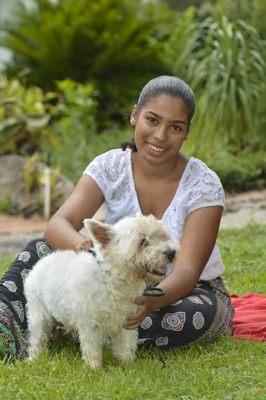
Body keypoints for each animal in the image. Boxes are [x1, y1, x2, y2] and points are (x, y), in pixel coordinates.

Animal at [24, 216, 177, 368]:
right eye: (143, 242)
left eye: (162, 236)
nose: (171, 253)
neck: (113, 279)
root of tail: (41, 263)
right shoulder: (89, 323)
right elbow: (92, 348)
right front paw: (94, 368)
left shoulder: (128, 321)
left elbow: (126, 345)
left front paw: (127, 364)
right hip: (38, 313)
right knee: (37, 337)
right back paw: (34, 357)